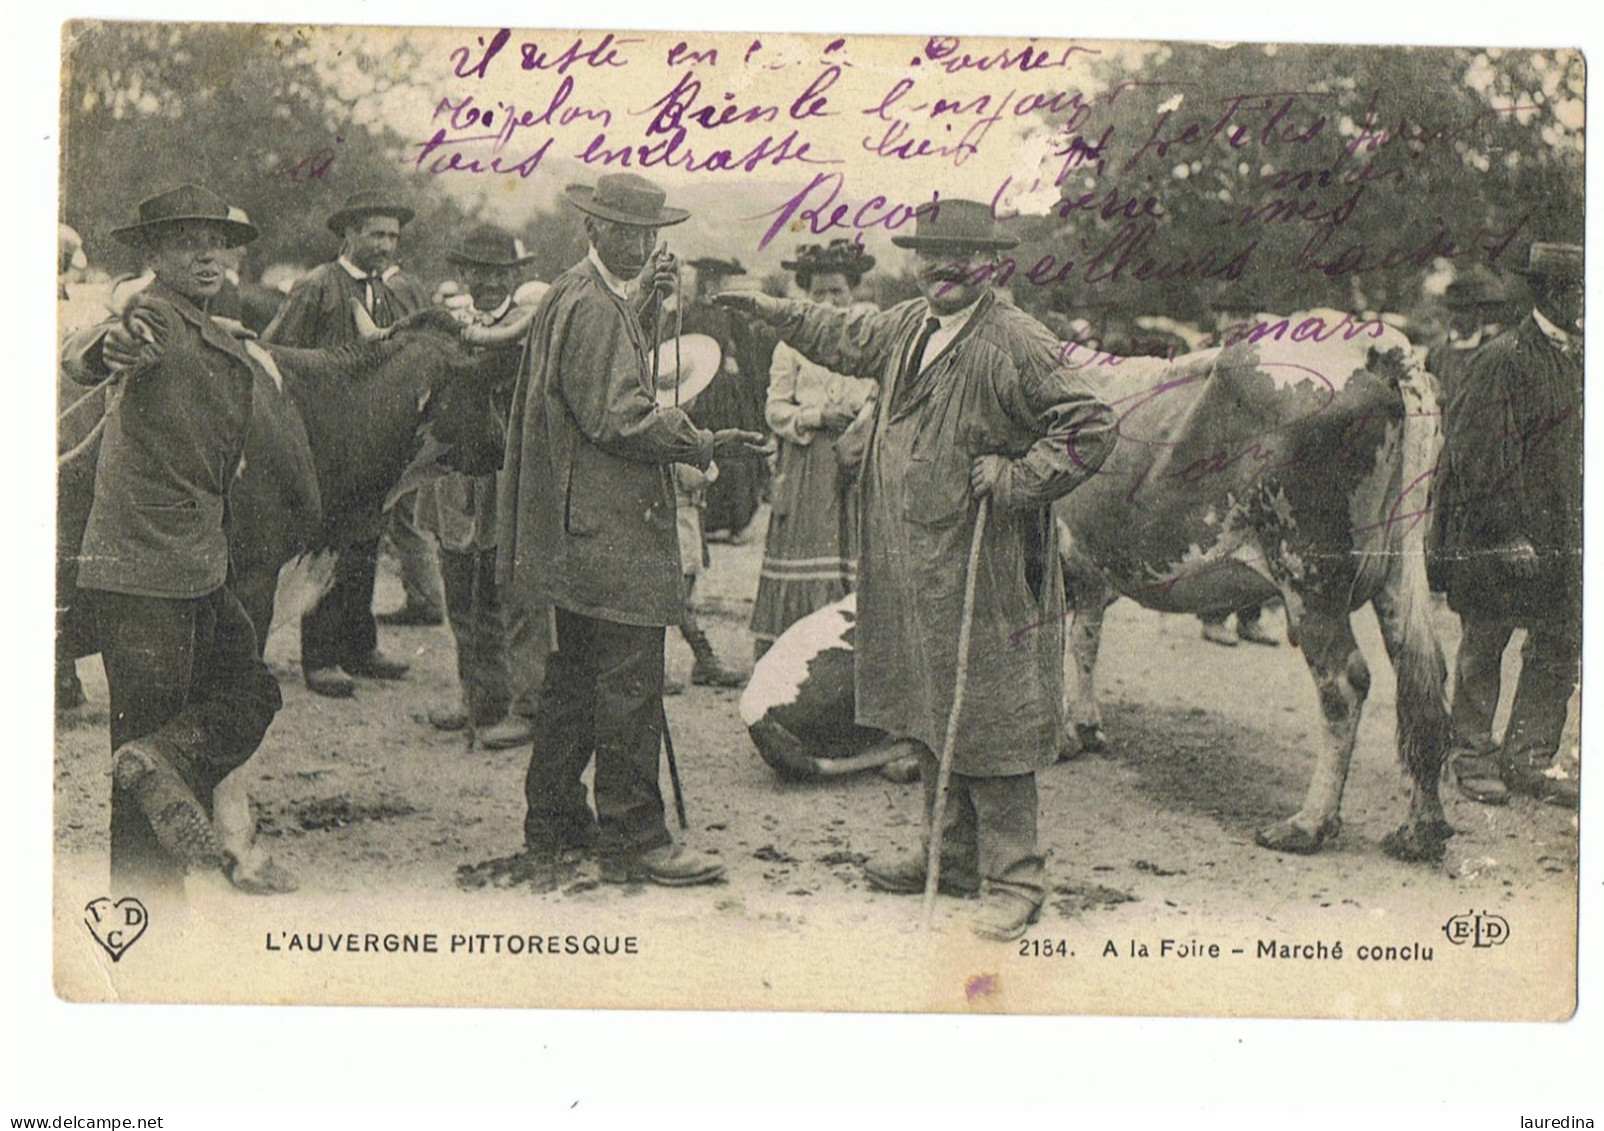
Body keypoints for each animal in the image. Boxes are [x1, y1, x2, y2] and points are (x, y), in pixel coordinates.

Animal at [737, 317, 1456, 866]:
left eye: (873, 396)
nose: (845, 450)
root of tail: (1377, 343)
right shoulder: (1086, 570)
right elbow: (1084, 640)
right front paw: (1079, 728)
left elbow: (1052, 649)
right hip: (1397, 574)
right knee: (1421, 675)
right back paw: (1420, 828)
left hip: (1308, 571)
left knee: (1346, 683)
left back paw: (1308, 823)